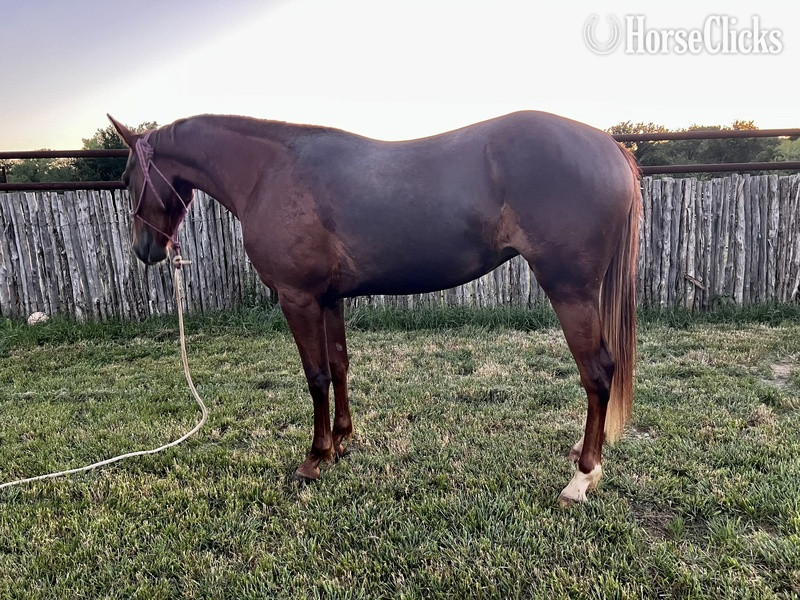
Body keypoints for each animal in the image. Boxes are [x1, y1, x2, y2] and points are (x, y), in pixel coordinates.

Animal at [109, 110, 641, 505]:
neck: (269, 172)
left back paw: (581, 478)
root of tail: (610, 146)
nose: (144, 250)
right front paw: (342, 441)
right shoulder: (328, 299)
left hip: (570, 291)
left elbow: (316, 376)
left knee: (597, 373)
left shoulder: (298, 298)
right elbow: (340, 365)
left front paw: (315, 456)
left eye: (127, 175)